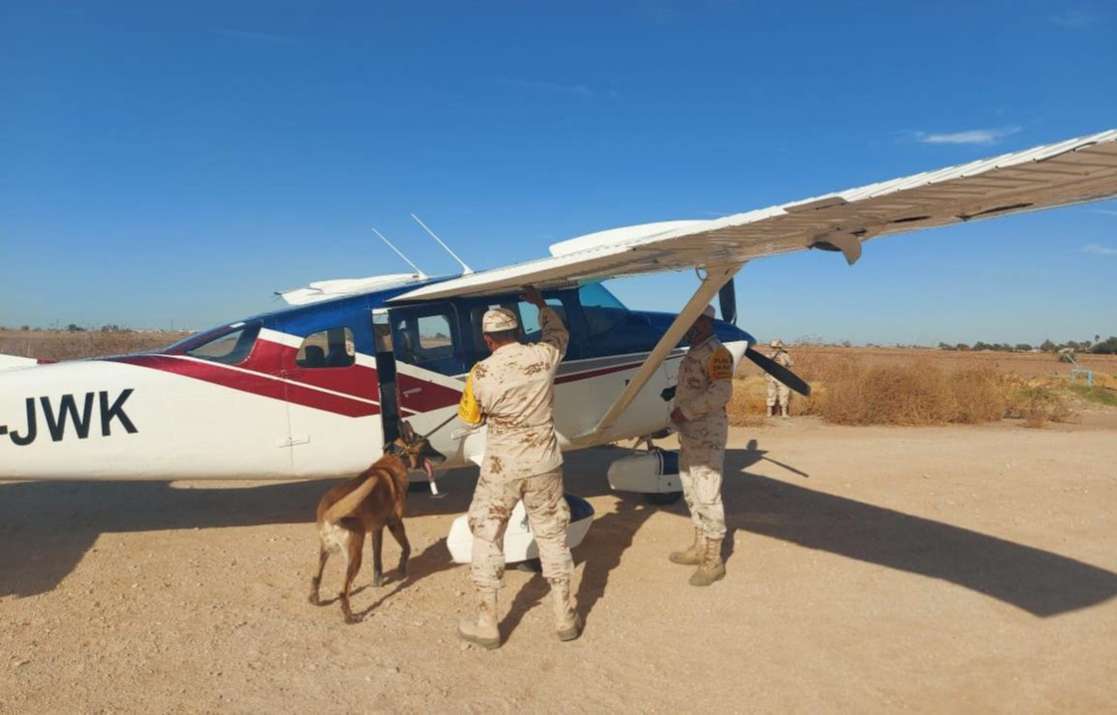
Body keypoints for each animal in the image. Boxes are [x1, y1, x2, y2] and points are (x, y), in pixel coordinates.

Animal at [310, 422, 444, 621]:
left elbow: (377, 556)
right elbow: (407, 547)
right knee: (343, 591)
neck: (397, 457)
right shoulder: (395, 523)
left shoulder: (377, 529)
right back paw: (350, 617)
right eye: (428, 444)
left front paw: (378, 580)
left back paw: (315, 599)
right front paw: (401, 567)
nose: (444, 457)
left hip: (325, 551)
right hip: (355, 556)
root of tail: (328, 513)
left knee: (316, 577)